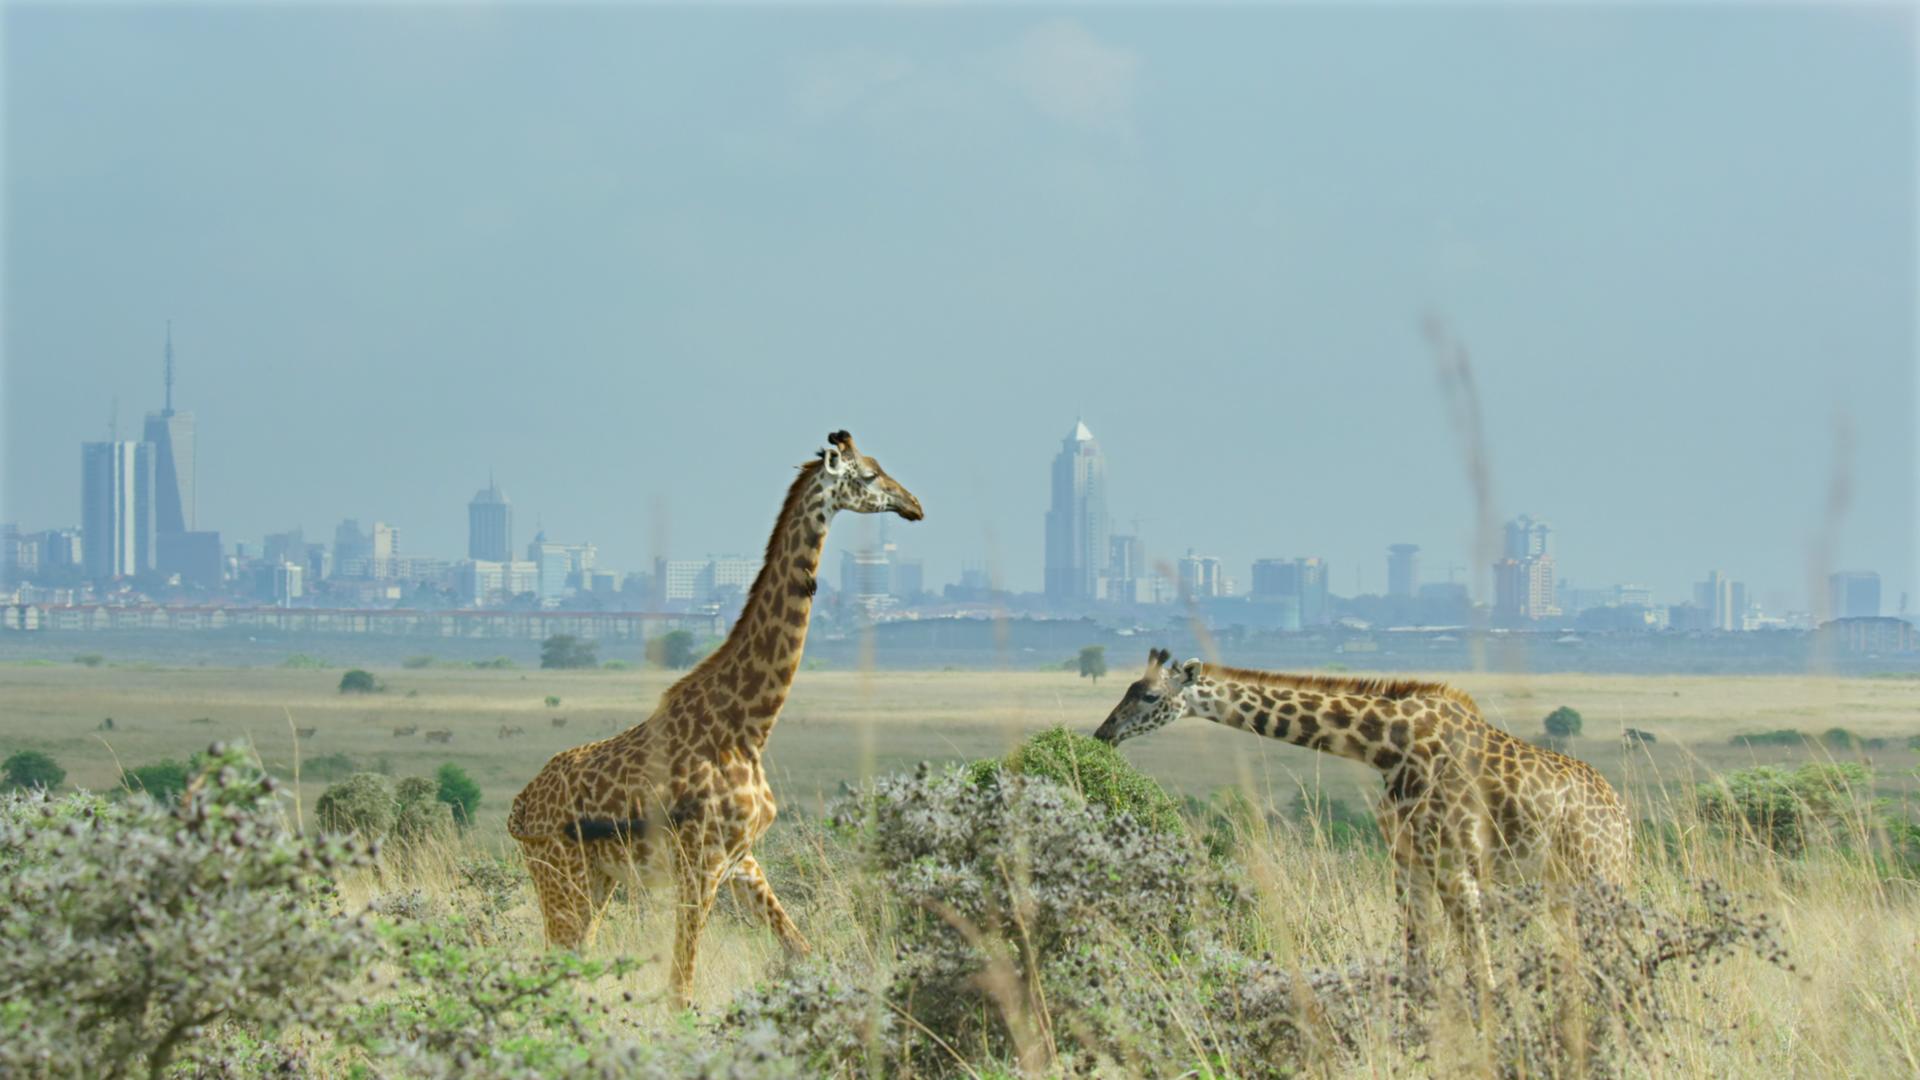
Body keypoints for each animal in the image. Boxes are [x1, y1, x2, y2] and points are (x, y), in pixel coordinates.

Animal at [506, 426, 925, 999]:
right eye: (868, 475)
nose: (915, 505)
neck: (748, 727)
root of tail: (520, 806)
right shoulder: (699, 863)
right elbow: (680, 990)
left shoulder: (741, 859)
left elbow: (802, 950)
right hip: (559, 873)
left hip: (595, 879)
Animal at [1105, 641, 1628, 980]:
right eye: (1126, 689)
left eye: (1150, 695)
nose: (1103, 733)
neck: (1387, 746)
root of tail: (1622, 820)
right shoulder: (1406, 857)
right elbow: (1417, 955)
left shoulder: (1456, 860)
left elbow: (1476, 960)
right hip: (1563, 882)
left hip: (1597, 874)